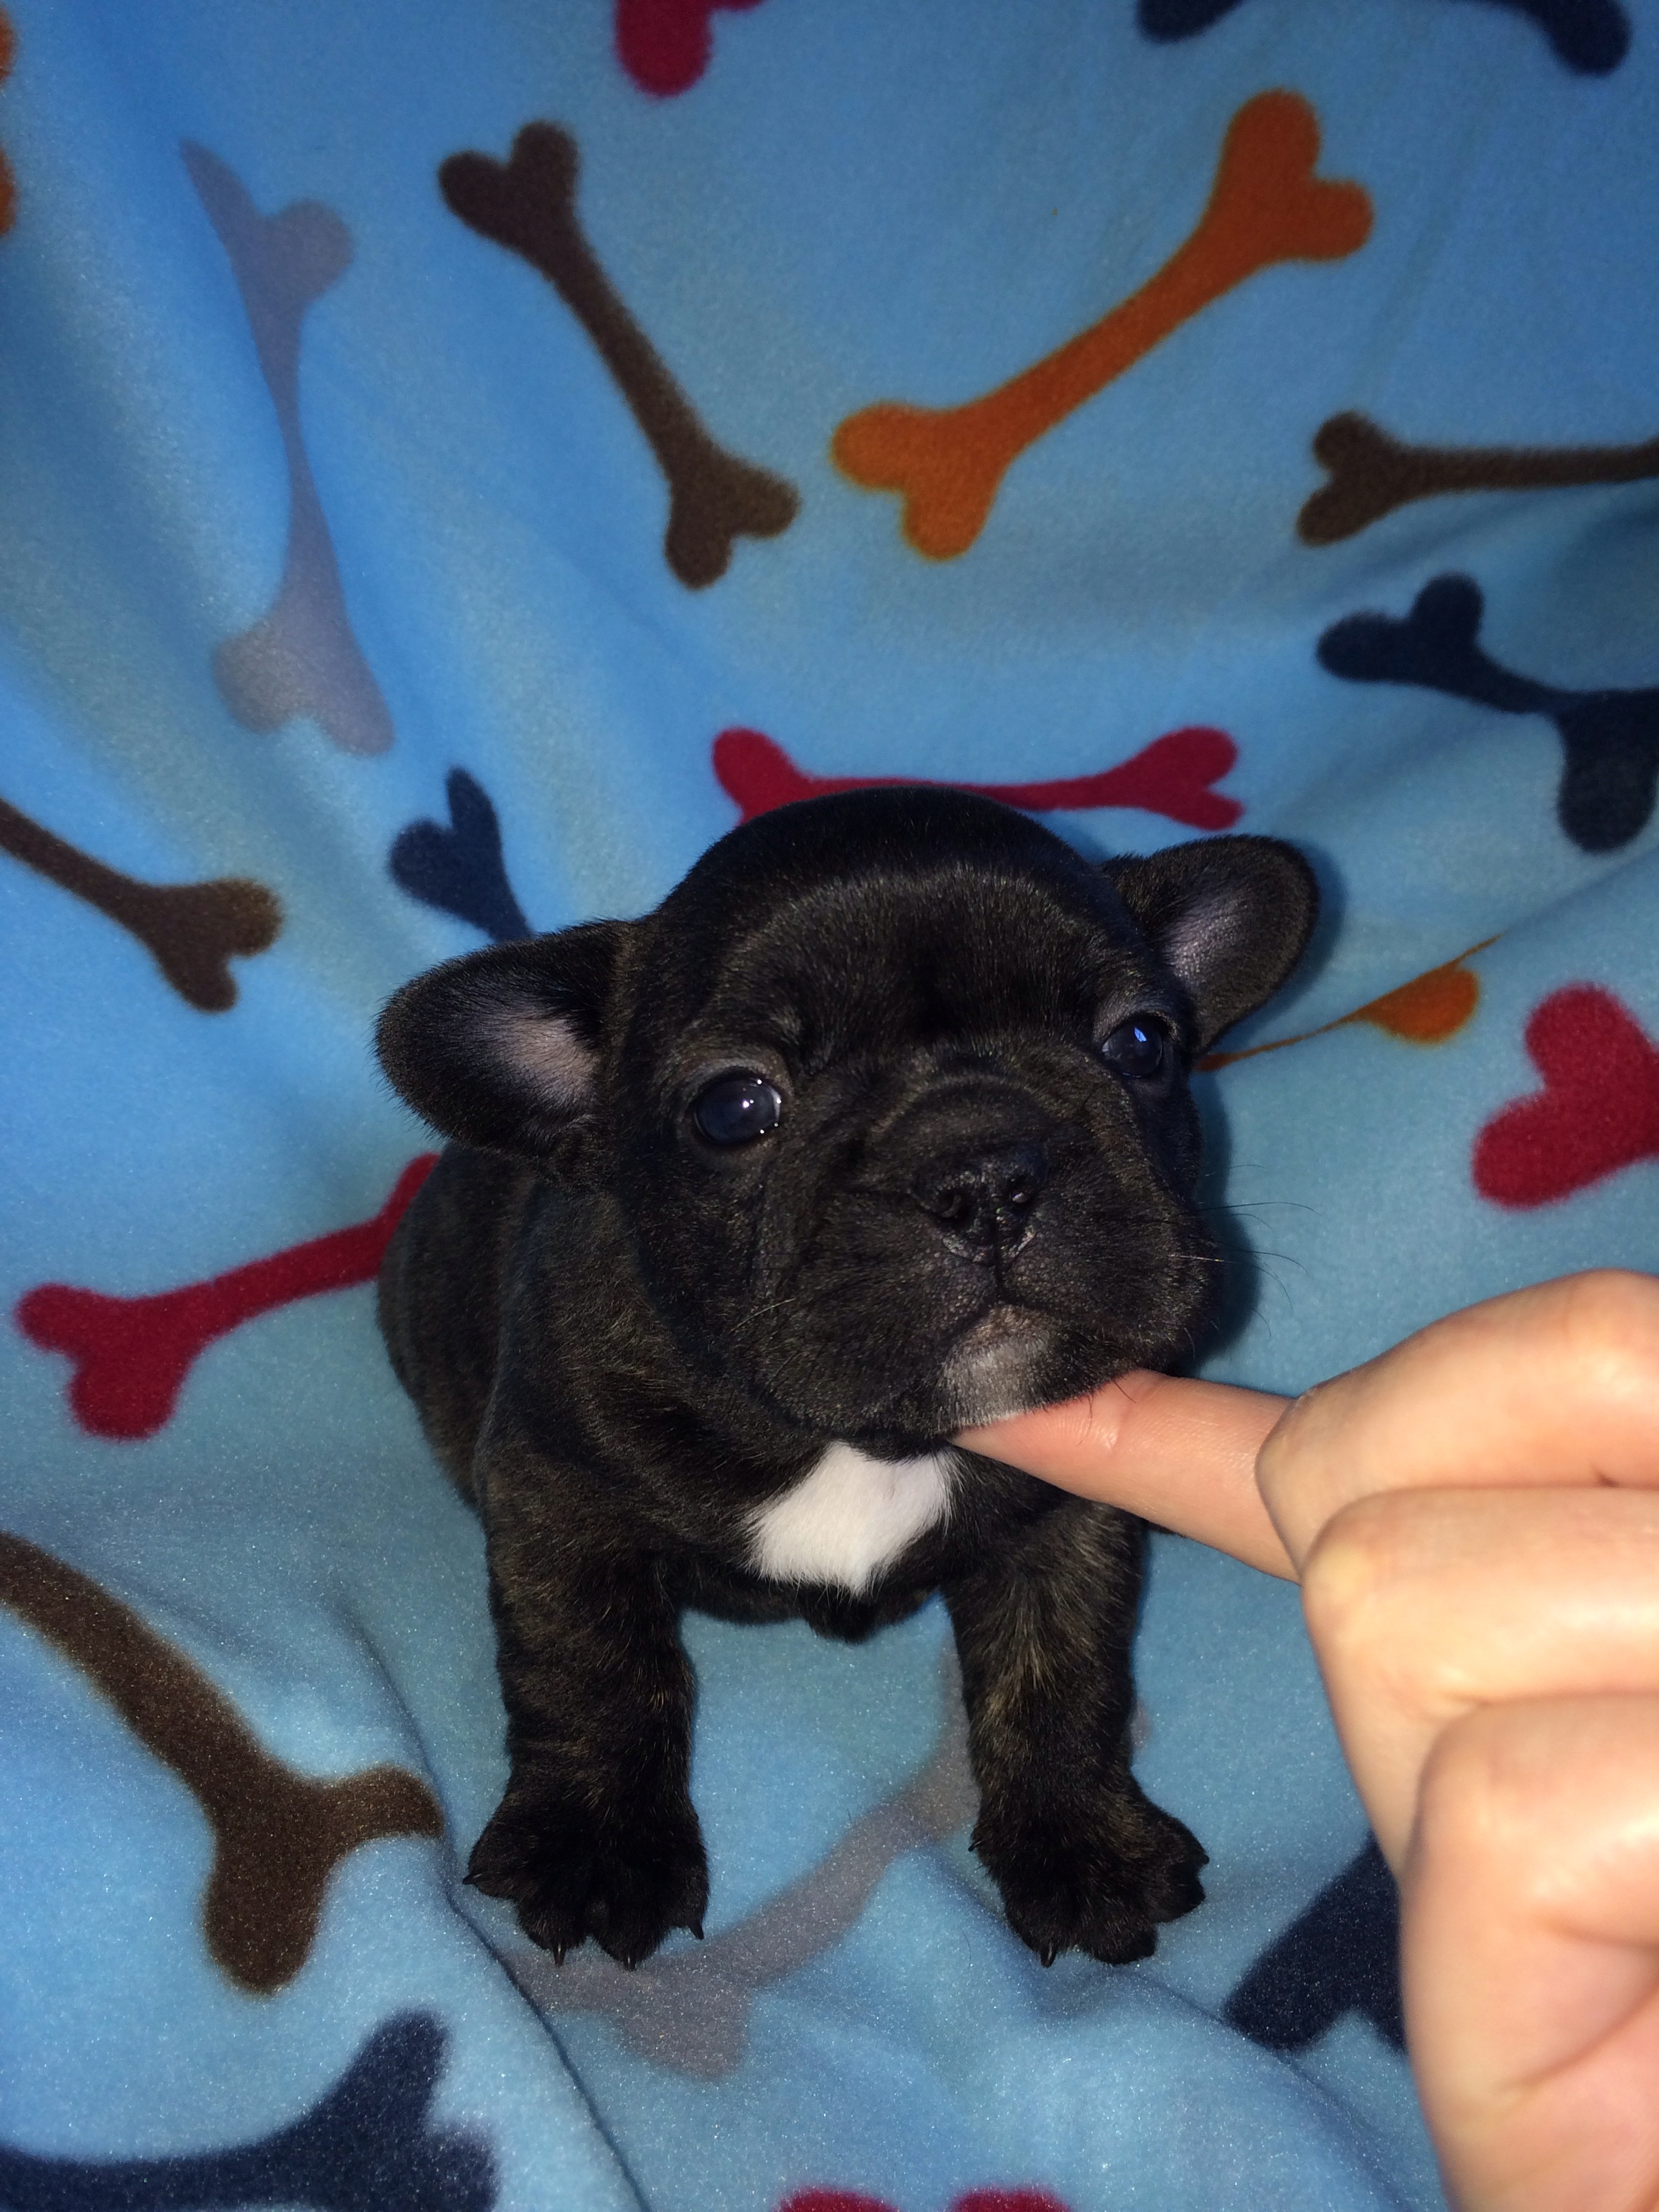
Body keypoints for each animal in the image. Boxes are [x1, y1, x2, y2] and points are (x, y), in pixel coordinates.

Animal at [376, 787, 1316, 1970]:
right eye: (735, 1108)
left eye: (1141, 1041)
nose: (984, 1171)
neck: (863, 1438)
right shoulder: (558, 1491)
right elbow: (588, 1663)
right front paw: (595, 1847)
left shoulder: (1063, 1519)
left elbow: (1059, 1670)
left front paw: (1080, 1842)